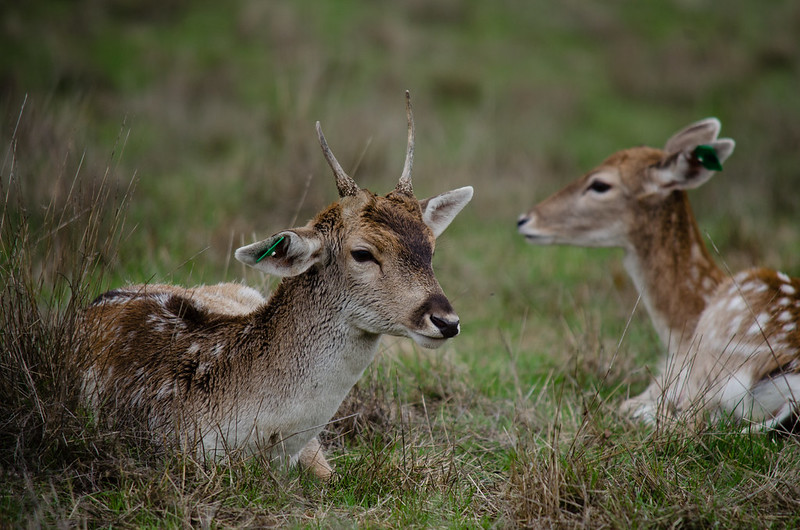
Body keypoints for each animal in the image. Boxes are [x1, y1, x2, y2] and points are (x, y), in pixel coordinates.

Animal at [520, 117, 800, 426]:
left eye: (601, 184)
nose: (525, 219)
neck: (679, 328)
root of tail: (792, 393)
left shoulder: (675, 371)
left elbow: (632, 403)